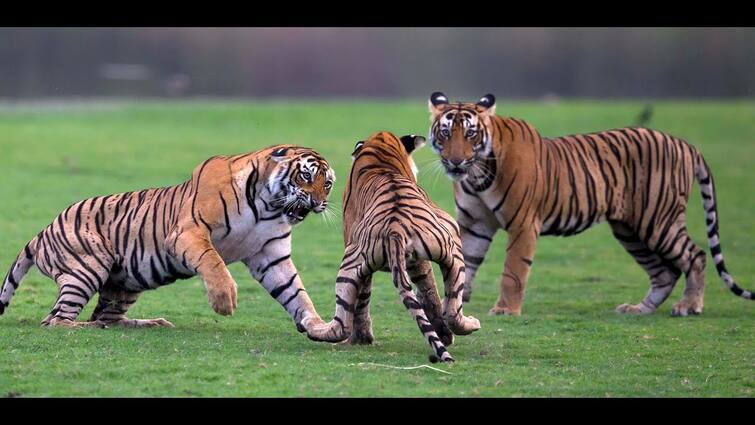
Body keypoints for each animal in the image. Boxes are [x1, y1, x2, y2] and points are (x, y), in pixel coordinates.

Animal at [0, 144, 336, 330]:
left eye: (328, 183)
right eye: (306, 175)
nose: (318, 202)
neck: (268, 207)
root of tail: (41, 232)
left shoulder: (270, 255)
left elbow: (295, 292)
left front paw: (317, 325)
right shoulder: (188, 232)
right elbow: (213, 262)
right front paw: (224, 301)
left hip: (125, 283)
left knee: (106, 316)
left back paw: (149, 323)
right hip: (86, 269)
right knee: (55, 320)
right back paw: (84, 328)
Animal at [306, 130, 478, 362]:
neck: (381, 149)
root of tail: (395, 229)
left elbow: (364, 297)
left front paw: (362, 338)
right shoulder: (418, 262)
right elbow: (428, 291)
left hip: (349, 266)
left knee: (341, 325)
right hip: (452, 250)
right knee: (451, 309)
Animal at [428, 91, 752, 316]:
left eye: (471, 133)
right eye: (446, 133)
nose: (455, 161)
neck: (477, 175)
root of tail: (685, 143)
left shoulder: (523, 225)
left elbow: (513, 271)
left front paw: (505, 310)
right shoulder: (475, 224)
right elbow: (464, 264)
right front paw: (454, 306)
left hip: (658, 221)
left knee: (695, 255)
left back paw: (689, 306)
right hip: (630, 230)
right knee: (665, 272)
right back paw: (638, 309)